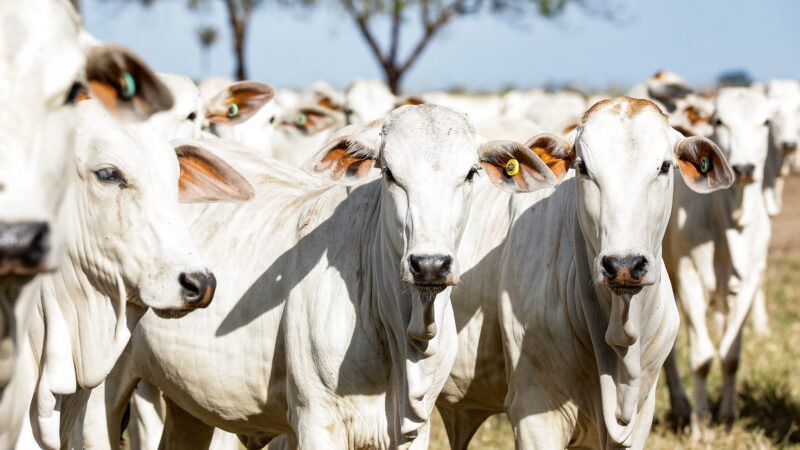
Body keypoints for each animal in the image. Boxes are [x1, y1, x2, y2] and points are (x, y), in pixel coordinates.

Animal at [98, 103, 556, 448]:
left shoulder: (417, 430)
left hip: (186, 404)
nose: (429, 264)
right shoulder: (317, 422)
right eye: (389, 173)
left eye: (471, 173)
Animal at [664, 86, 776, 434]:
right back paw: (681, 406)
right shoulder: (689, 276)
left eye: (766, 122)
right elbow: (701, 357)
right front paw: (701, 424)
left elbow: (730, 355)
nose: (744, 169)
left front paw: (727, 417)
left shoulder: (749, 281)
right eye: (719, 121)